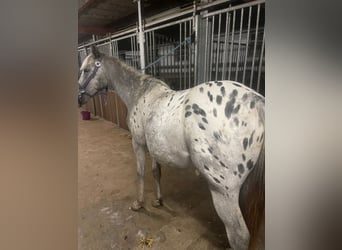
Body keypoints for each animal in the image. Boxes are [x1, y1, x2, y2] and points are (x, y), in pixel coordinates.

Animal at [78, 46, 264, 249]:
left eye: (86, 70)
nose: (79, 98)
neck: (139, 94)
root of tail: (257, 103)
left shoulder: (138, 143)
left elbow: (140, 173)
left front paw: (138, 204)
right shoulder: (155, 148)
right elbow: (156, 172)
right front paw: (158, 200)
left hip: (223, 191)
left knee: (239, 236)